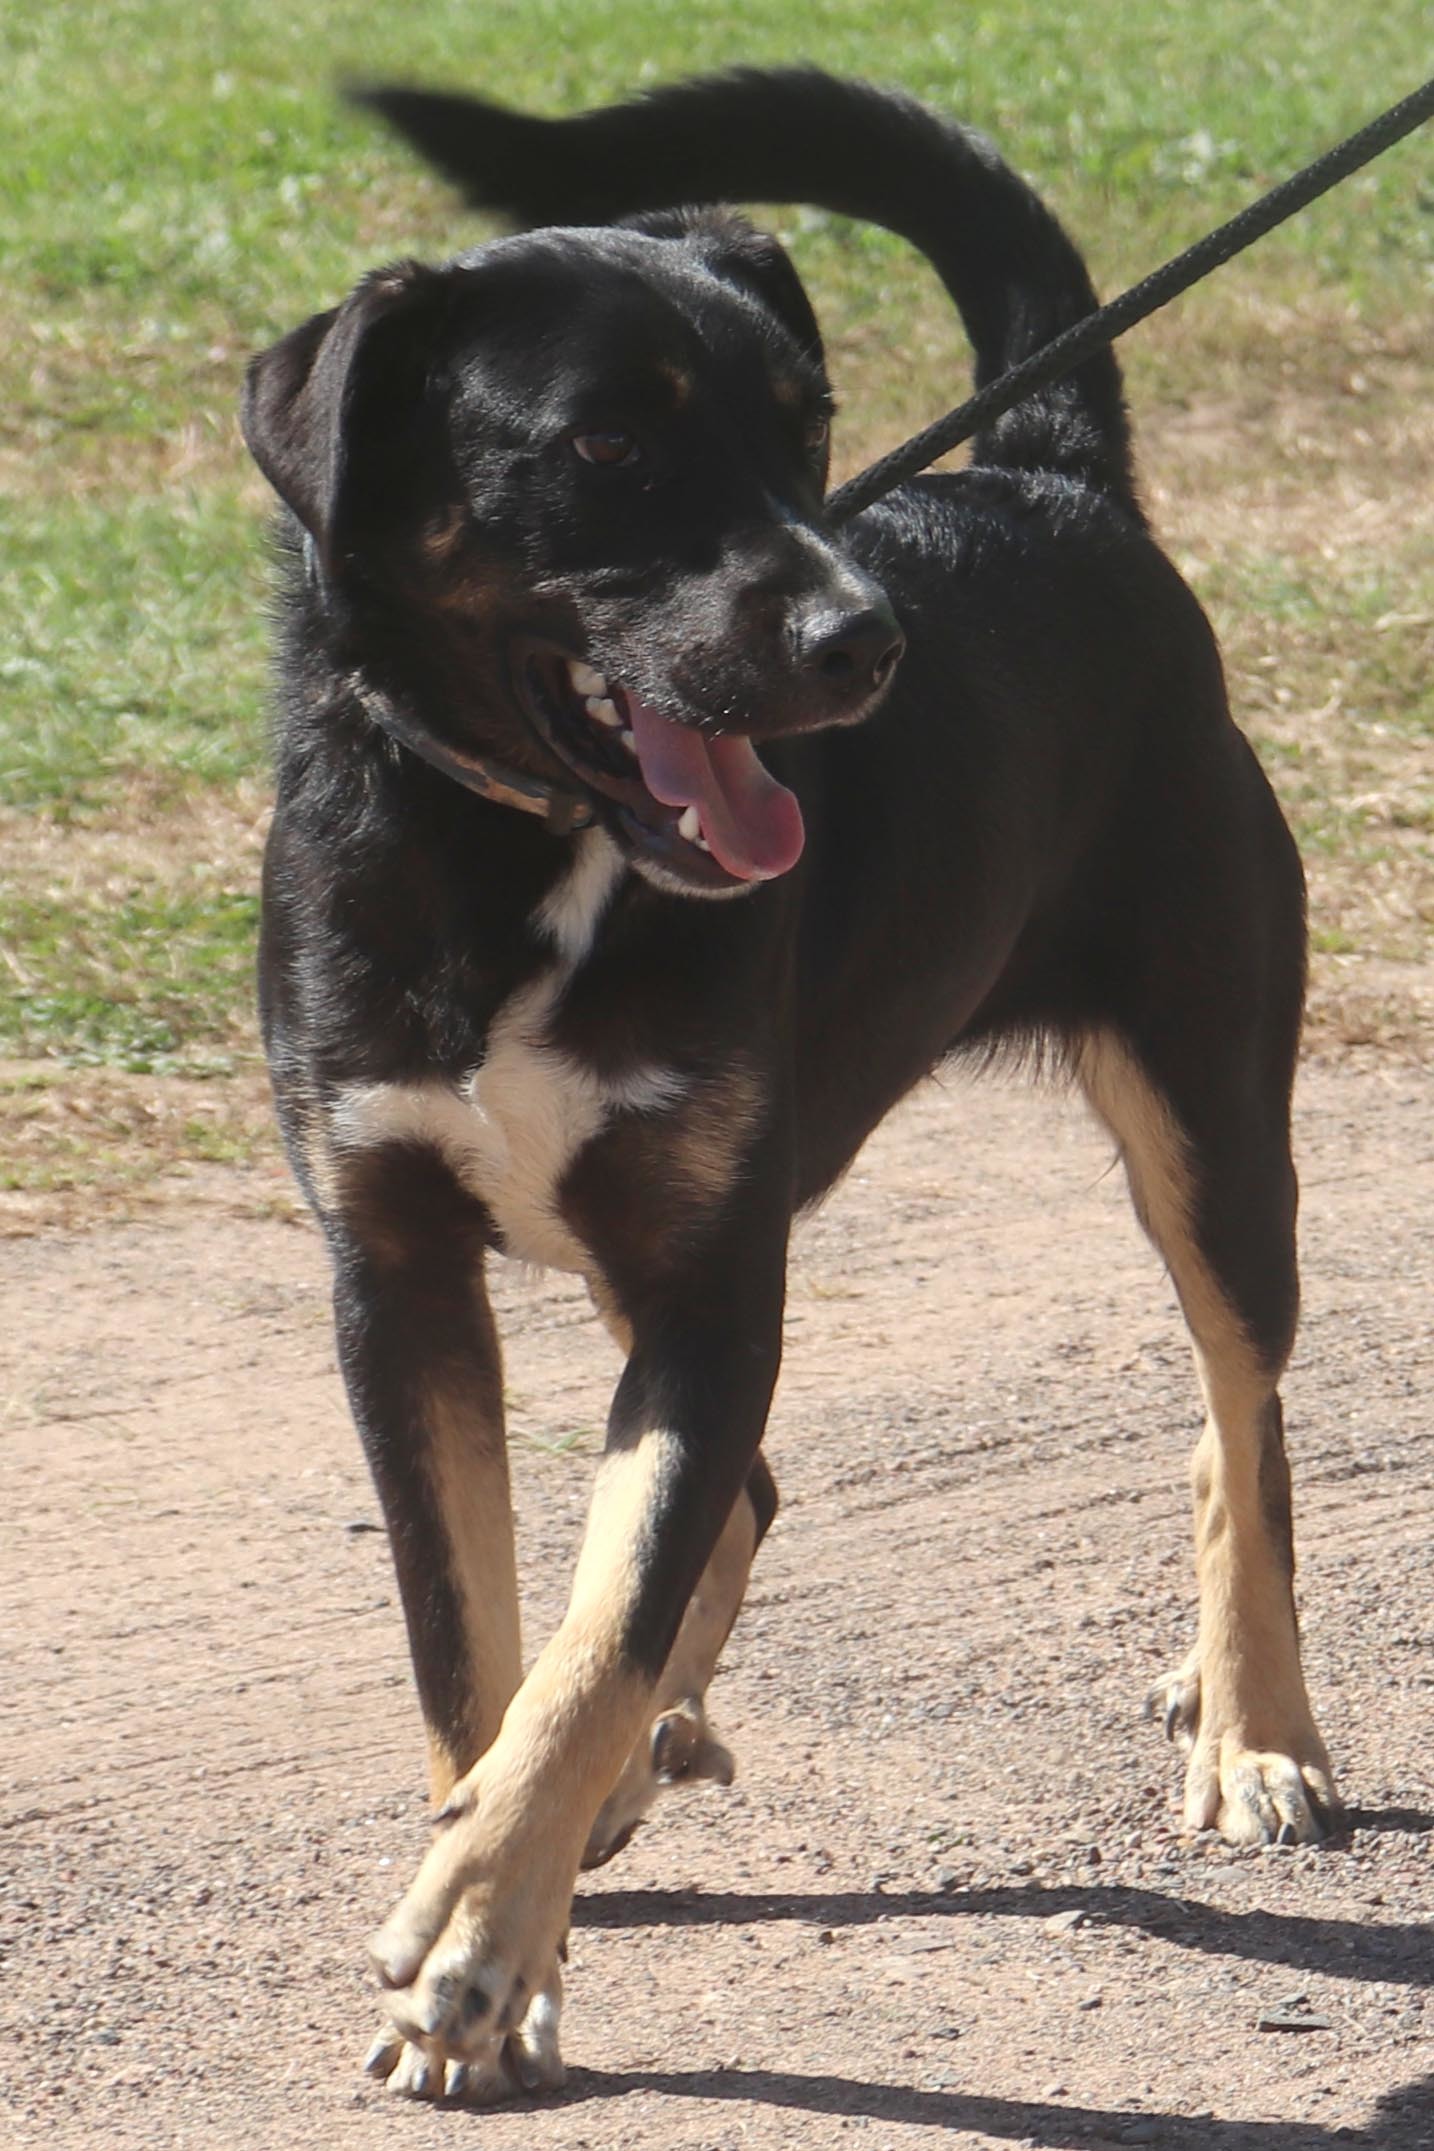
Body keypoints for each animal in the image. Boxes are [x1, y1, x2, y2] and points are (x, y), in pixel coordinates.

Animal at [238, 62, 1350, 2099]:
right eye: (603, 443)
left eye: (803, 425)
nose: (863, 640)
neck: (519, 863)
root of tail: (1052, 474)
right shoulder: (395, 1271)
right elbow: (484, 1639)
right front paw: (498, 1888)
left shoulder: (709, 1272)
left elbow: (596, 1625)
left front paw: (477, 1943)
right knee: (743, 1496)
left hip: (1210, 1118)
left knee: (1239, 1419)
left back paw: (1252, 1726)